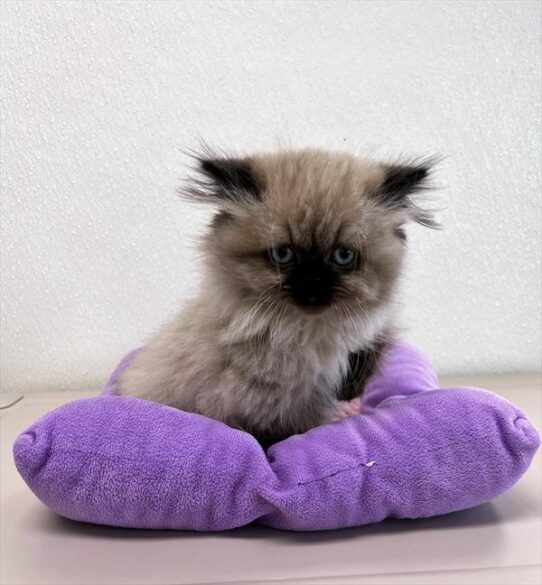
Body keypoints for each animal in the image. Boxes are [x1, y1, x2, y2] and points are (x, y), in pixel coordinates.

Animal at [119, 148, 438, 444]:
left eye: (343, 256)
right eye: (282, 255)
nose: (312, 283)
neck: (307, 334)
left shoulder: (372, 338)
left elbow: (366, 362)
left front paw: (350, 400)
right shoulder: (254, 414)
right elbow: (270, 440)